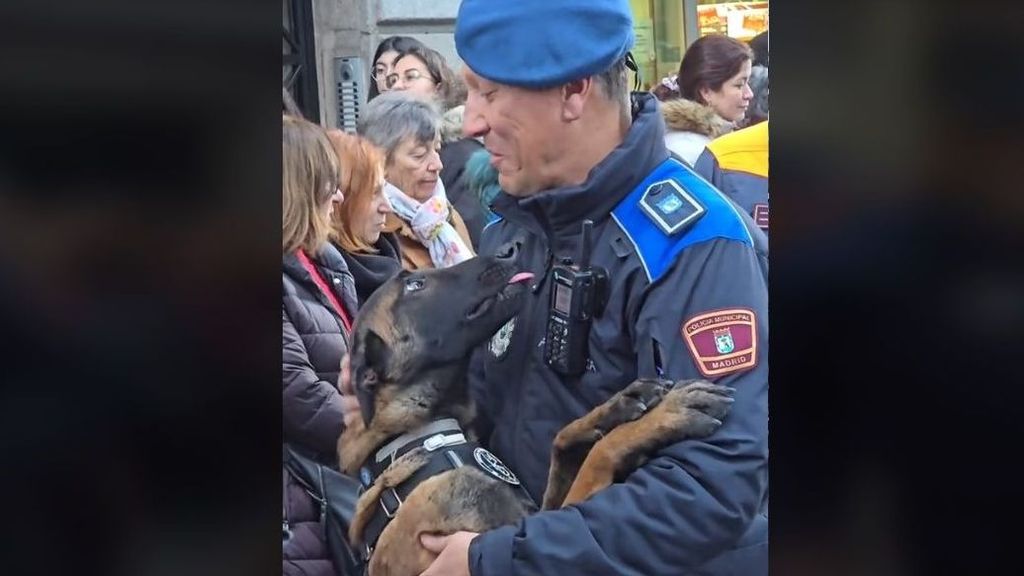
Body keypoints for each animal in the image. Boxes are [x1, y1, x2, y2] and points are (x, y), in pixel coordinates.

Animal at [339, 250, 733, 573]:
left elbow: (562, 441)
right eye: (415, 285)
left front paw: (617, 407)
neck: (424, 435)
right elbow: (600, 455)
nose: (507, 251)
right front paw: (666, 414)